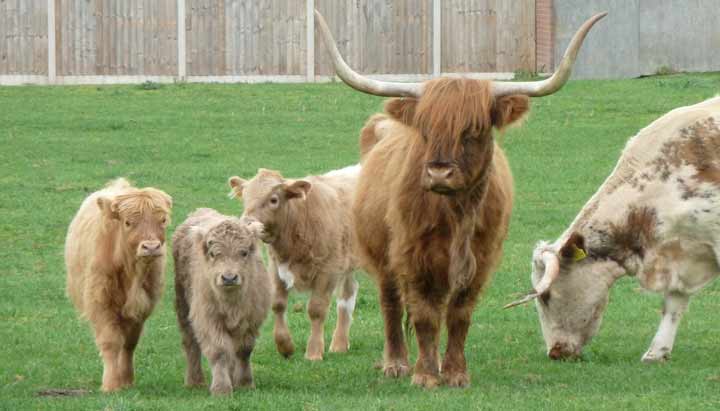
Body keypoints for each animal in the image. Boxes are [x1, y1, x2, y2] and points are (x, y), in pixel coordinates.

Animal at [65, 178, 172, 392]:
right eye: (128, 222)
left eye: (163, 220)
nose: (151, 247)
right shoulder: (101, 302)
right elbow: (111, 341)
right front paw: (111, 384)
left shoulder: (142, 307)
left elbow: (129, 343)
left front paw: (127, 379)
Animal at [173, 208, 271, 395]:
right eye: (213, 253)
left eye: (244, 252)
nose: (229, 278)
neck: (232, 302)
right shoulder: (208, 318)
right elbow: (219, 352)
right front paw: (221, 388)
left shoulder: (252, 319)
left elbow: (244, 350)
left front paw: (244, 383)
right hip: (183, 306)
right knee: (190, 343)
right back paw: (194, 381)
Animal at [228, 165, 360, 361]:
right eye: (244, 197)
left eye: (273, 199)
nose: (247, 223)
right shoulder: (275, 267)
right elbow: (277, 304)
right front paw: (285, 346)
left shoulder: (328, 270)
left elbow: (316, 309)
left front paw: (313, 352)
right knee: (348, 294)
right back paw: (339, 344)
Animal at [314, 9, 606, 388]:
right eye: (425, 129)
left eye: (474, 130)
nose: (439, 173)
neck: (455, 214)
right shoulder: (412, 256)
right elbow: (423, 314)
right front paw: (425, 374)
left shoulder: (481, 260)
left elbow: (458, 314)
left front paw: (454, 372)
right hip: (382, 255)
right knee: (391, 304)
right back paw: (397, 363)